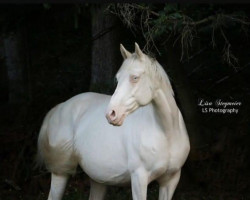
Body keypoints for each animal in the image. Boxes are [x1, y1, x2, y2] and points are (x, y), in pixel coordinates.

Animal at [37, 43, 189, 199]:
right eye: (117, 79)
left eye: (135, 77)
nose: (111, 114)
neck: (167, 132)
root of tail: (59, 107)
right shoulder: (139, 179)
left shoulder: (170, 181)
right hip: (60, 173)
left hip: (98, 179)